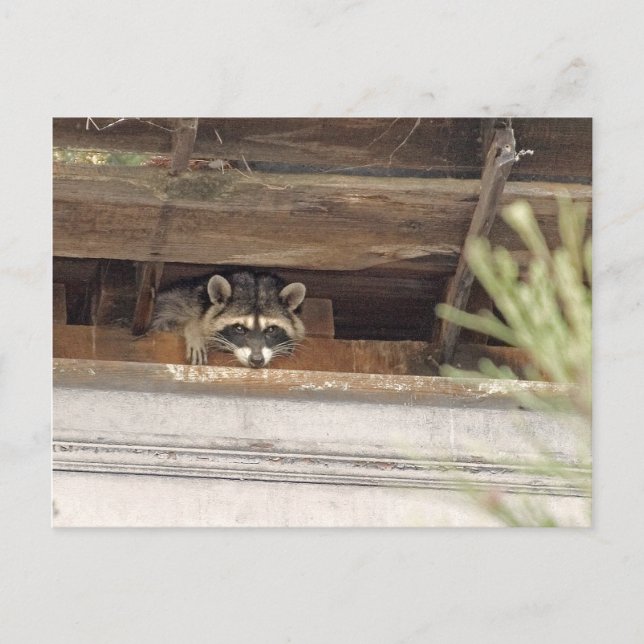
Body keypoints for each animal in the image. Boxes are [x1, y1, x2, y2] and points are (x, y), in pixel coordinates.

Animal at [151, 271, 306, 368]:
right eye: (239, 328)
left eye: (271, 329)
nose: (257, 360)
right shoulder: (180, 300)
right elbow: (162, 321)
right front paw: (193, 328)